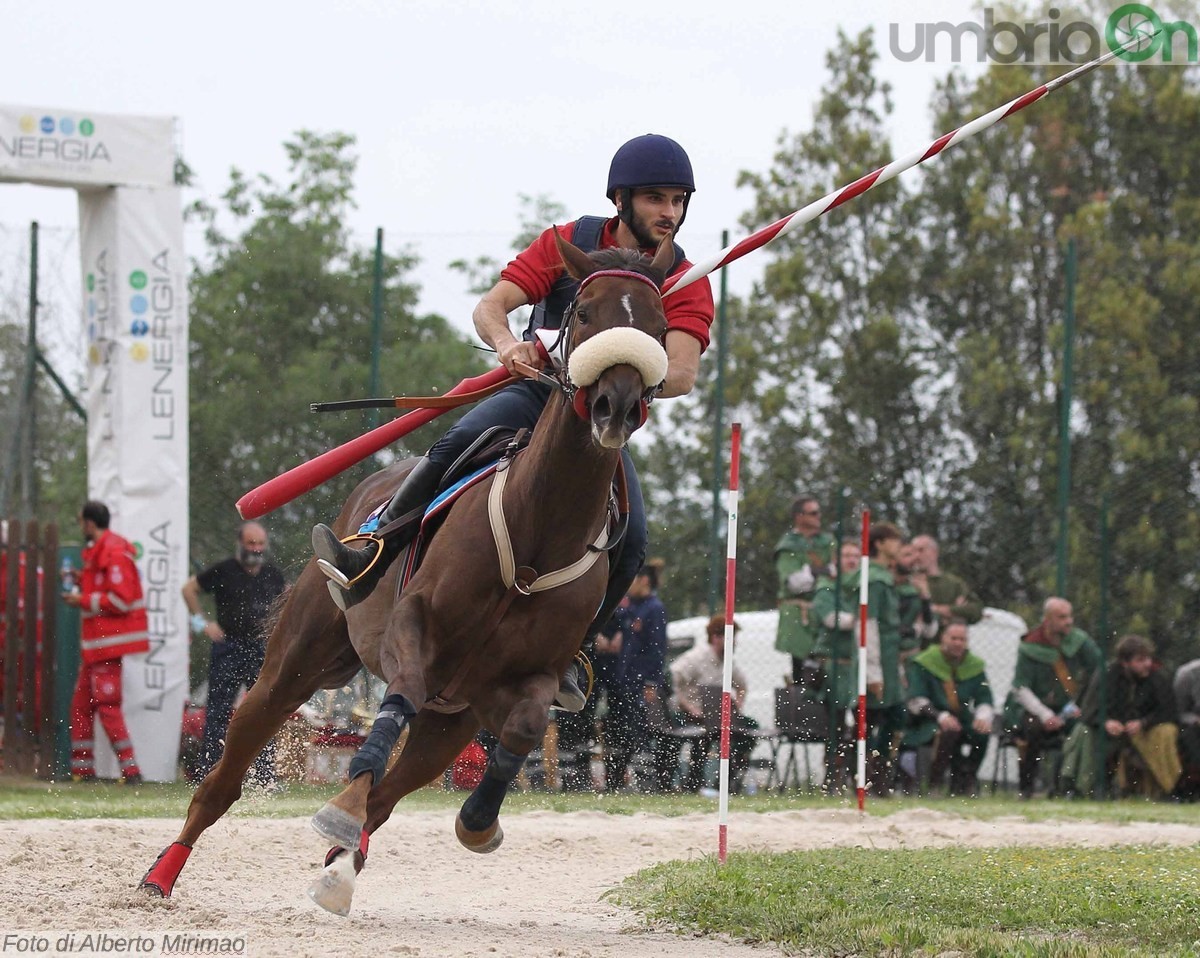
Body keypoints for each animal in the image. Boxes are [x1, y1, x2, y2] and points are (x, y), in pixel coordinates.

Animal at [140, 230, 676, 917]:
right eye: (583, 313)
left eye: (659, 327)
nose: (617, 404)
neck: (537, 531)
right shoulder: (412, 625)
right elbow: (400, 695)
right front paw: (342, 804)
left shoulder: (523, 681)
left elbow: (525, 727)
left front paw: (477, 819)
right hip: (294, 662)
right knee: (226, 776)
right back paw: (162, 874)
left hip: (450, 725)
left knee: (392, 794)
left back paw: (341, 868)